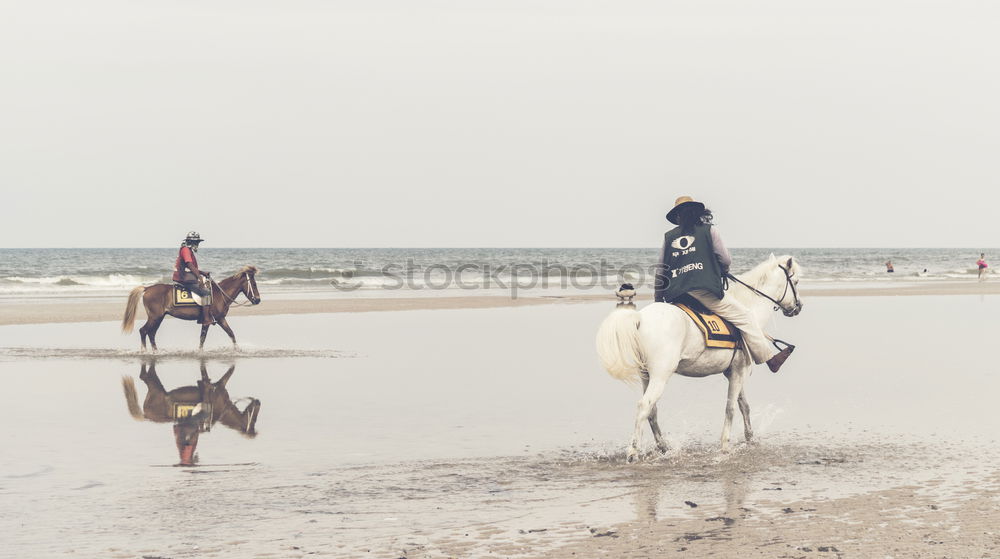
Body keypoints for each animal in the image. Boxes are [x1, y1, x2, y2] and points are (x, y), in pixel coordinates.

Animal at [120, 266, 260, 350]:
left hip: (159, 318)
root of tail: (148, 288)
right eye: (253, 284)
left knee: (151, 333)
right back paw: (145, 351)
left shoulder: (221, 319)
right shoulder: (208, 321)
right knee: (144, 331)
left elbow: (231, 333)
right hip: (155, 317)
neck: (220, 294)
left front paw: (237, 350)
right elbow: (203, 338)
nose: (258, 300)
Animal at [122, 360, 262, 466]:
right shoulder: (220, 385)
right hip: (154, 385)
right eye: (253, 419)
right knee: (145, 375)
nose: (258, 401)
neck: (222, 410)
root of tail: (146, 415)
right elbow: (228, 373)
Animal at [592, 254, 804, 460]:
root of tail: (640, 318)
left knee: (652, 410)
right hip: (661, 375)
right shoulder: (738, 372)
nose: (798, 306)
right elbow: (731, 408)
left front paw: (750, 439)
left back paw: (663, 447)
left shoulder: (736, 371)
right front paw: (725, 446)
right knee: (644, 406)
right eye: (795, 281)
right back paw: (633, 452)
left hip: (646, 375)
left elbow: (744, 405)